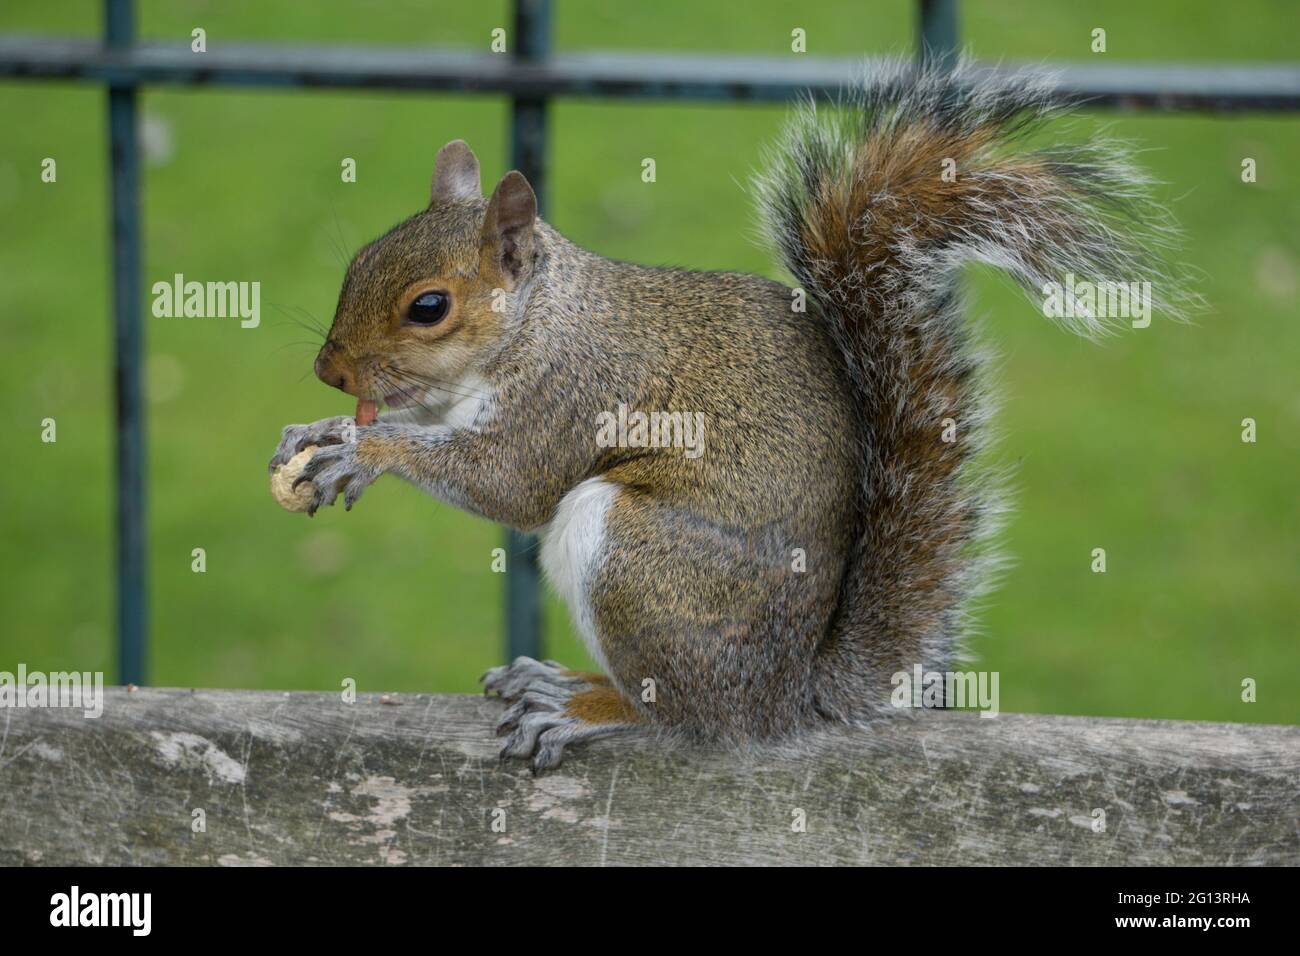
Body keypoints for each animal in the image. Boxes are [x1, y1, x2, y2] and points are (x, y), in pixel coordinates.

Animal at [271, 59, 1190, 775]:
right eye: (358, 260)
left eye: (429, 307)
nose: (328, 371)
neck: (538, 320)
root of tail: (784, 697)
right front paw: (321, 433)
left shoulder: (572, 394)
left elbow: (510, 484)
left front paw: (368, 449)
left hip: (636, 559)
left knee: (681, 715)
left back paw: (580, 707)